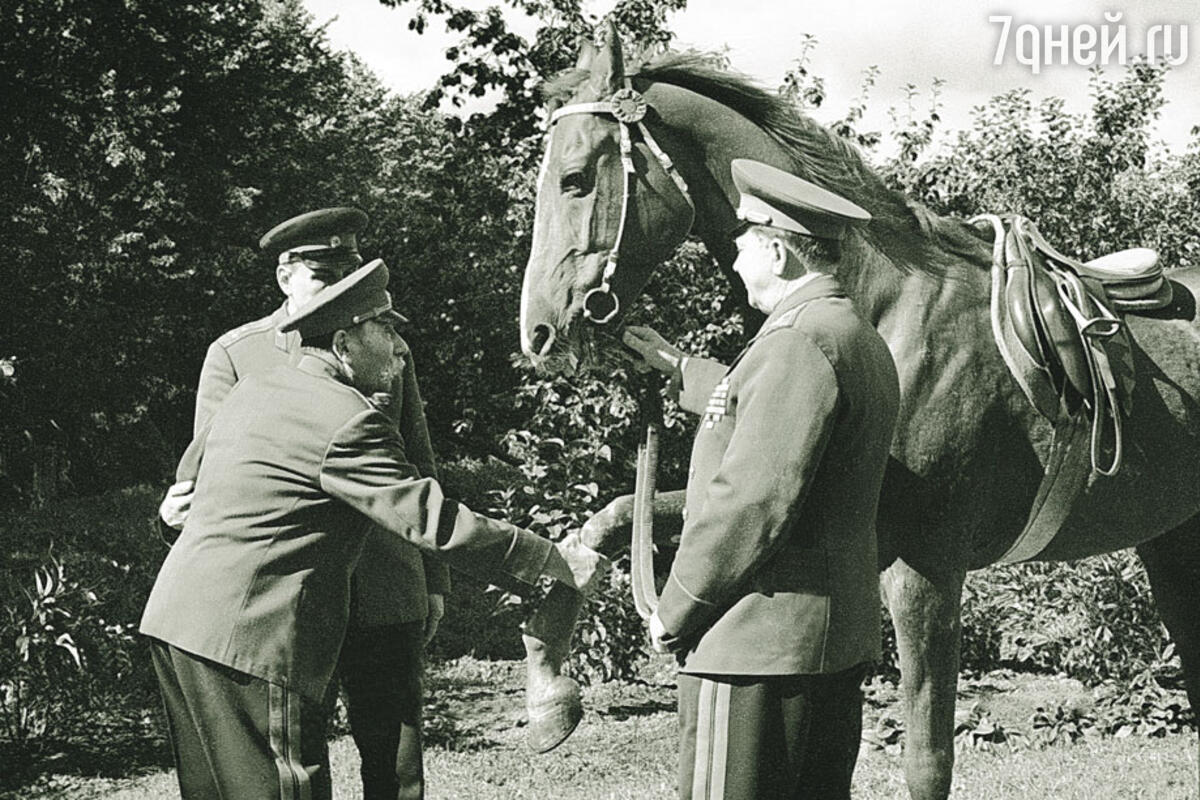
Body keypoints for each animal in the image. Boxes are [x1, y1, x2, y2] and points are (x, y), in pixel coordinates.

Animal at [518, 25, 1200, 800]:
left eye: (576, 178)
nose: (538, 332)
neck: (885, 309)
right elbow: (611, 520)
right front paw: (548, 690)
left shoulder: (924, 568)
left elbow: (928, 759)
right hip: (1174, 538)